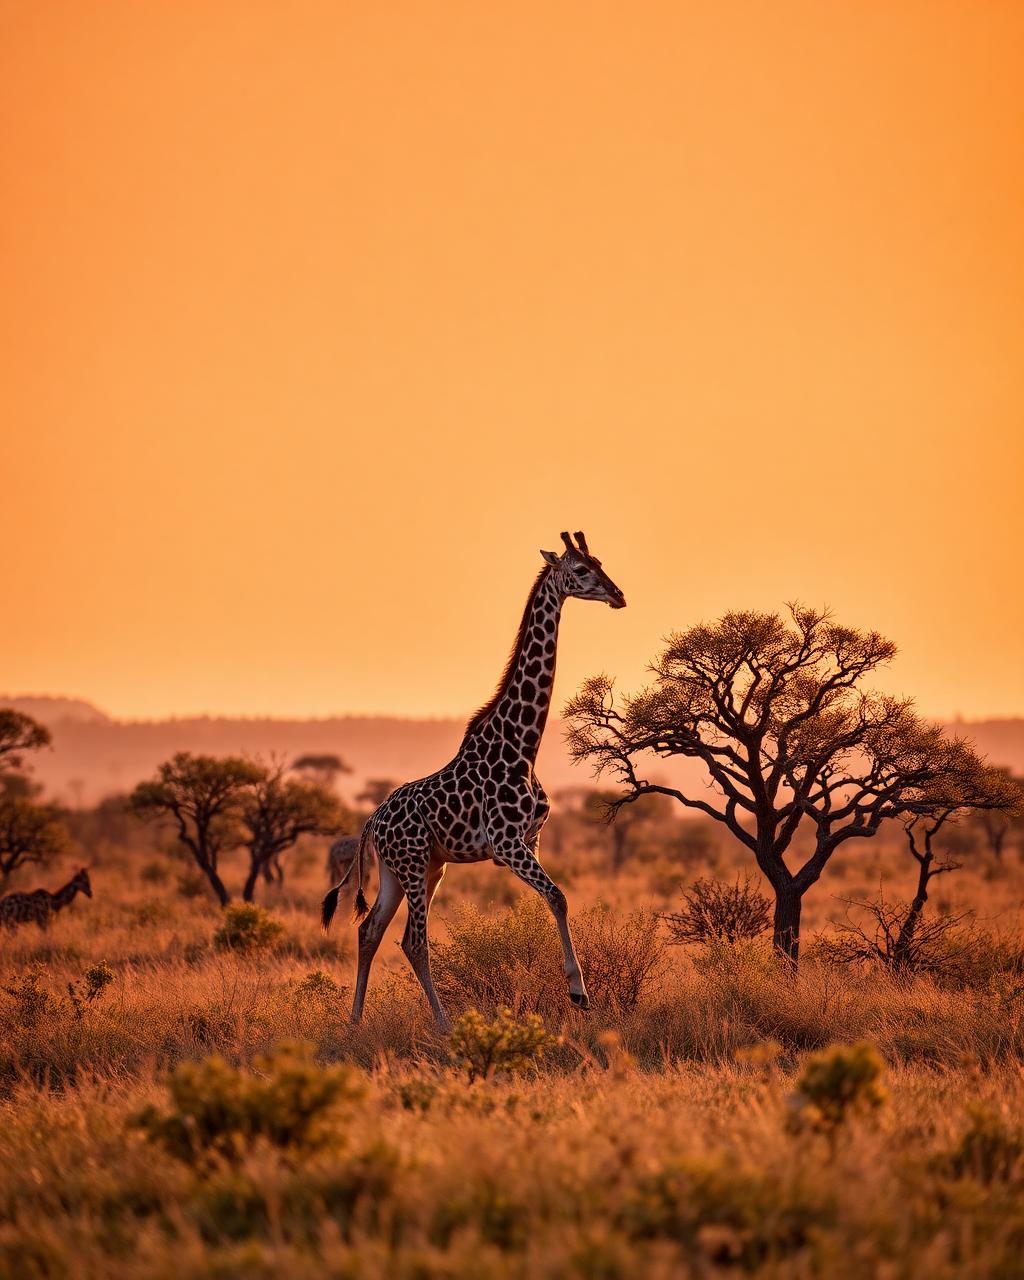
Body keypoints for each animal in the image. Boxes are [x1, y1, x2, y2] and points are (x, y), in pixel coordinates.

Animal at [322, 531, 626, 1028]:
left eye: (600, 561)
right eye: (581, 570)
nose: (618, 595)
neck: (522, 746)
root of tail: (373, 821)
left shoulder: (531, 841)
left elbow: (550, 901)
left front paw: (574, 989)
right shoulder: (506, 843)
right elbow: (559, 897)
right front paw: (579, 992)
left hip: (412, 867)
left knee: (370, 930)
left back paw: (354, 1024)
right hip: (413, 863)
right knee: (413, 941)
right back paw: (444, 1026)